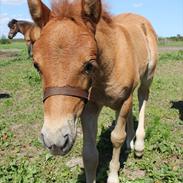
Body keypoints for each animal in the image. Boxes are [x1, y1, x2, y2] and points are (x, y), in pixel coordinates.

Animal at [27, 0, 157, 183]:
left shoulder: (123, 100)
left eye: (88, 65)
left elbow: (116, 138)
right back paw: (130, 142)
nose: (55, 141)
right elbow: (89, 154)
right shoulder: (89, 107)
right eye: (36, 65)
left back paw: (138, 145)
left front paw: (113, 176)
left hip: (148, 76)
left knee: (142, 98)